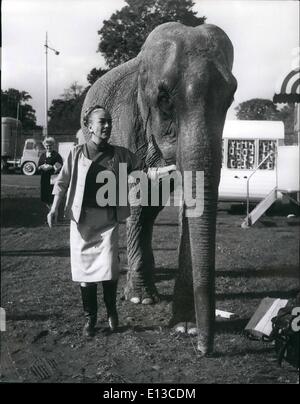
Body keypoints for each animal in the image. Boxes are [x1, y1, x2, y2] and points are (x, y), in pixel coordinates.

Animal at [81, 21, 237, 354]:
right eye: (164, 99)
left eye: (230, 99)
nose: (204, 351)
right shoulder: (127, 121)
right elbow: (137, 191)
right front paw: (139, 299)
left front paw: (186, 327)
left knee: (152, 208)